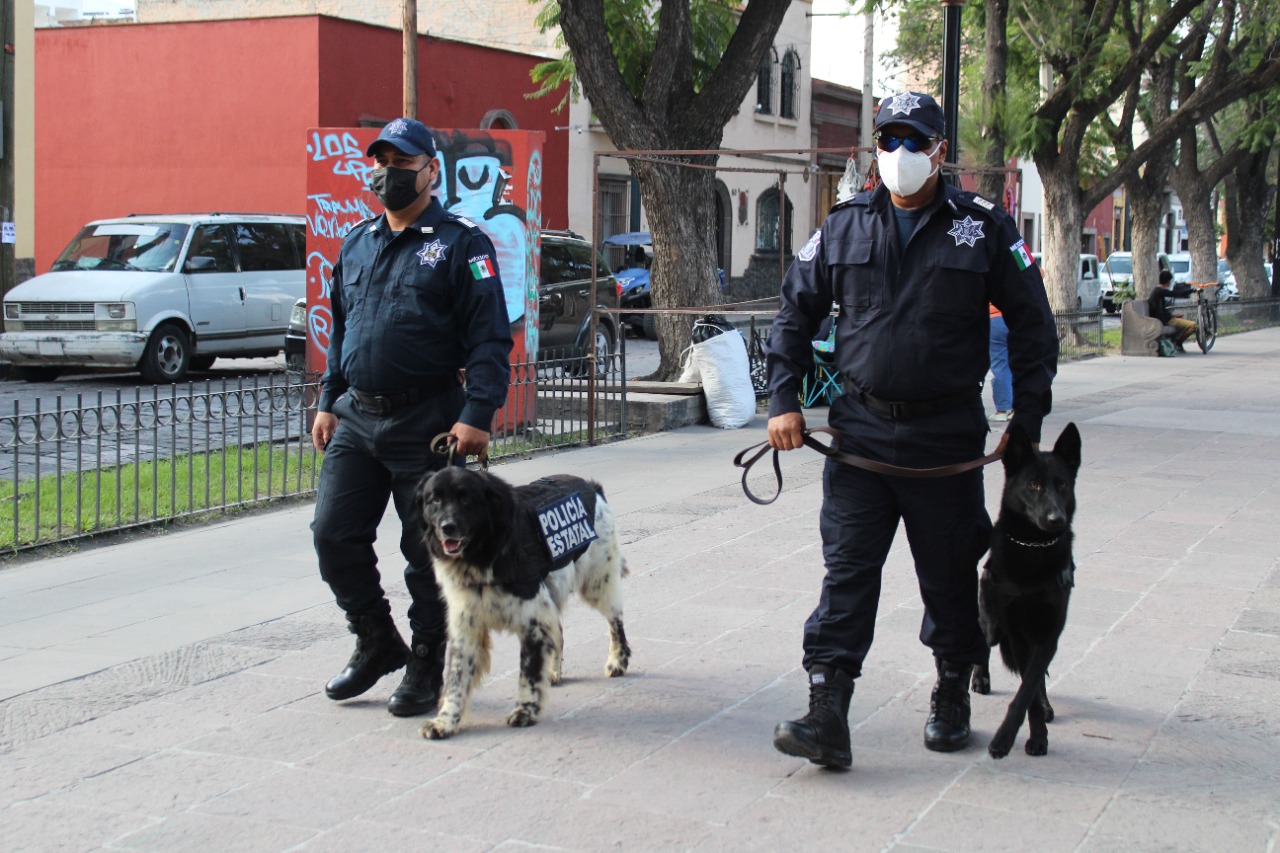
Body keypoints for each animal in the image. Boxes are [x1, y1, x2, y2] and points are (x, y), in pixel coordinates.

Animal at [414, 466, 629, 737]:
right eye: (435, 500)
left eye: (466, 499)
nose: (448, 526)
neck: (484, 553)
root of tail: (591, 486)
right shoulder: (466, 623)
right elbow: (456, 677)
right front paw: (445, 720)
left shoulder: (533, 619)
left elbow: (528, 672)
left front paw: (525, 710)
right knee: (559, 631)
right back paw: (554, 671)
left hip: (597, 582)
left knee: (615, 620)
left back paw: (618, 660)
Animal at [972, 422, 1075, 753]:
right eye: (1033, 485)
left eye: (1062, 485)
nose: (1057, 519)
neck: (1034, 547)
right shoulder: (1016, 634)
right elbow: (1026, 692)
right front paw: (1019, 737)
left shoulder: (1048, 634)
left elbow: (1029, 685)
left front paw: (1035, 732)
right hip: (993, 624)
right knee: (982, 643)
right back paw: (980, 679)